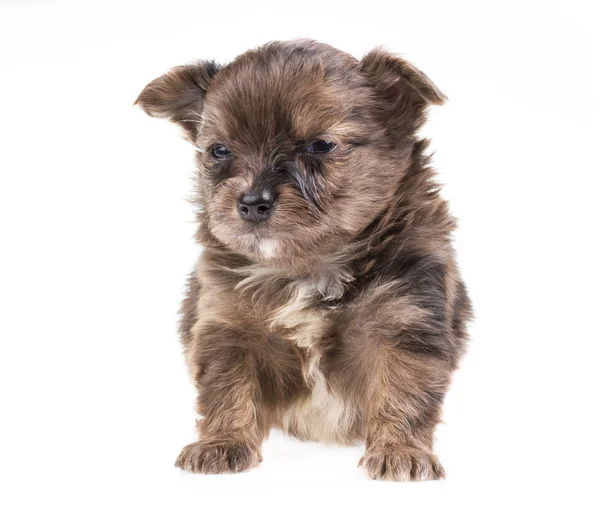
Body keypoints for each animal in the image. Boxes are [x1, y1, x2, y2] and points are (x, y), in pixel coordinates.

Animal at [137, 40, 474, 480]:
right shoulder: (227, 325)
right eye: (219, 151)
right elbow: (227, 388)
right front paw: (222, 443)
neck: (307, 265)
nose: (251, 202)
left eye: (320, 146)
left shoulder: (406, 320)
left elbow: (403, 391)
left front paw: (401, 451)